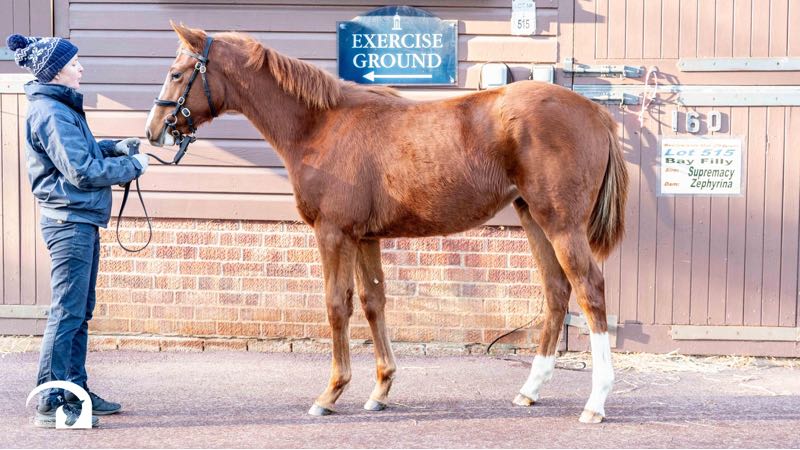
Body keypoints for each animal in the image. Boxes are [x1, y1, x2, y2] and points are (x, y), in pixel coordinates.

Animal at [145, 23, 629, 424]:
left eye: (177, 72)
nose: (154, 131)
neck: (320, 126)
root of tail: (596, 112)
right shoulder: (365, 238)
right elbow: (373, 302)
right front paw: (380, 389)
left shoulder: (333, 233)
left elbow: (337, 305)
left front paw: (330, 393)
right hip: (534, 218)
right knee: (557, 291)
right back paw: (530, 390)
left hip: (561, 224)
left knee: (590, 290)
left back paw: (596, 403)